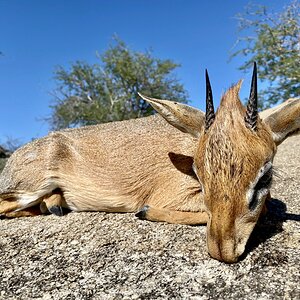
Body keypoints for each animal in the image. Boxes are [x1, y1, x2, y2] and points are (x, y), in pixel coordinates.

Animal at [0, 63, 298, 262]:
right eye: (198, 173)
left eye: (265, 175)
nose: (222, 250)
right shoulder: (171, 195)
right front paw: (144, 211)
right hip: (28, 188)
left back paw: (55, 205)